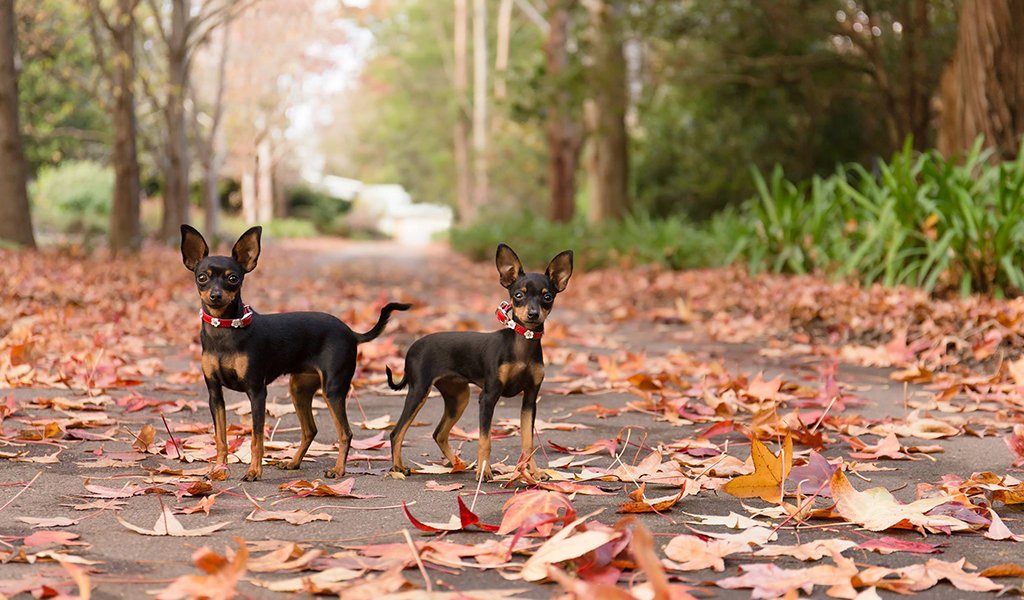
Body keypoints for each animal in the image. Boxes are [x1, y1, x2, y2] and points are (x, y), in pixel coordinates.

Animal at [180, 224, 407, 481]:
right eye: (202, 278)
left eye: (233, 279)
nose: (215, 295)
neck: (224, 330)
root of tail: (350, 332)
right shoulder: (215, 394)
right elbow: (220, 437)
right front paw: (219, 469)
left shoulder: (257, 392)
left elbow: (257, 438)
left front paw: (254, 471)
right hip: (299, 389)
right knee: (310, 430)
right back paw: (294, 462)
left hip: (332, 390)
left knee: (345, 432)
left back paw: (338, 469)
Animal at [385, 240, 573, 479]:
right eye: (518, 295)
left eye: (547, 297)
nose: (533, 314)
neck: (523, 343)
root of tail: (413, 347)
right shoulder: (488, 397)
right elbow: (485, 440)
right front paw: (485, 471)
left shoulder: (530, 399)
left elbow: (528, 442)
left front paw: (535, 473)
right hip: (420, 391)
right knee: (397, 432)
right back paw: (398, 468)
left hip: (458, 397)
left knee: (438, 433)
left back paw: (458, 464)